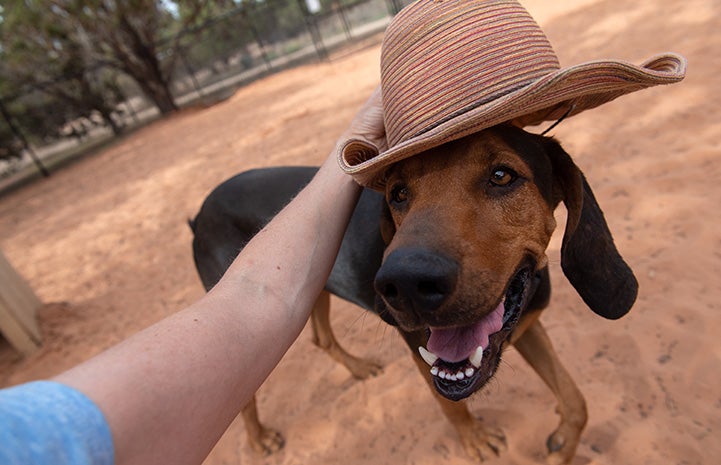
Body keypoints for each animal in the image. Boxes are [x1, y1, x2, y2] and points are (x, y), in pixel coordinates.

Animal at [190, 124, 636, 464]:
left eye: (502, 176)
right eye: (398, 193)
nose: (403, 285)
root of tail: (200, 212)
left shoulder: (524, 329)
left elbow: (577, 402)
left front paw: (562, 443)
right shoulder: (419, 344)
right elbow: (450, 404)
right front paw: (475, 440)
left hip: (308, 290)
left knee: (321, 338)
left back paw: (358, 369)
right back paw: (259, 438)